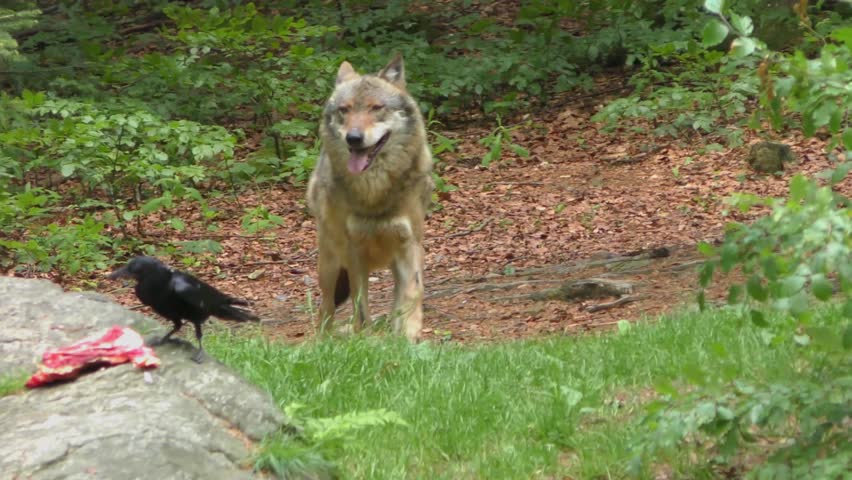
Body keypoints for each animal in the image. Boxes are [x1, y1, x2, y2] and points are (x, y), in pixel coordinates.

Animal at [306, 54, 433, 341]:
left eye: (376, 108)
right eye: (345, 110)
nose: (353, 138)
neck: (374, 191)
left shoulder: (410, 243)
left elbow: (413, 293)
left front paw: (409, 336)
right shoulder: (354, 251)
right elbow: (360, 305)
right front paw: (365, 339)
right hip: (329, 266)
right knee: (325, 308)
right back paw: (323, 340)